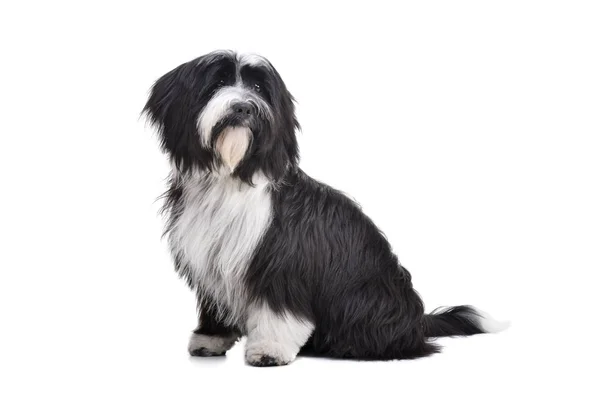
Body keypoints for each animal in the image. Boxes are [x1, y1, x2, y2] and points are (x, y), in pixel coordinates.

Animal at [143, 50, 508, 366]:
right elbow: (214, 305)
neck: (231, 178)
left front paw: (270, 349)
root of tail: (417, 321)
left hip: (364, 299)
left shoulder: (281, 262)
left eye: (259, 89)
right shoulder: (211, 258)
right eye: (217, 83)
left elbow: (278, 309)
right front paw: (210, 338)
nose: (245, 108)